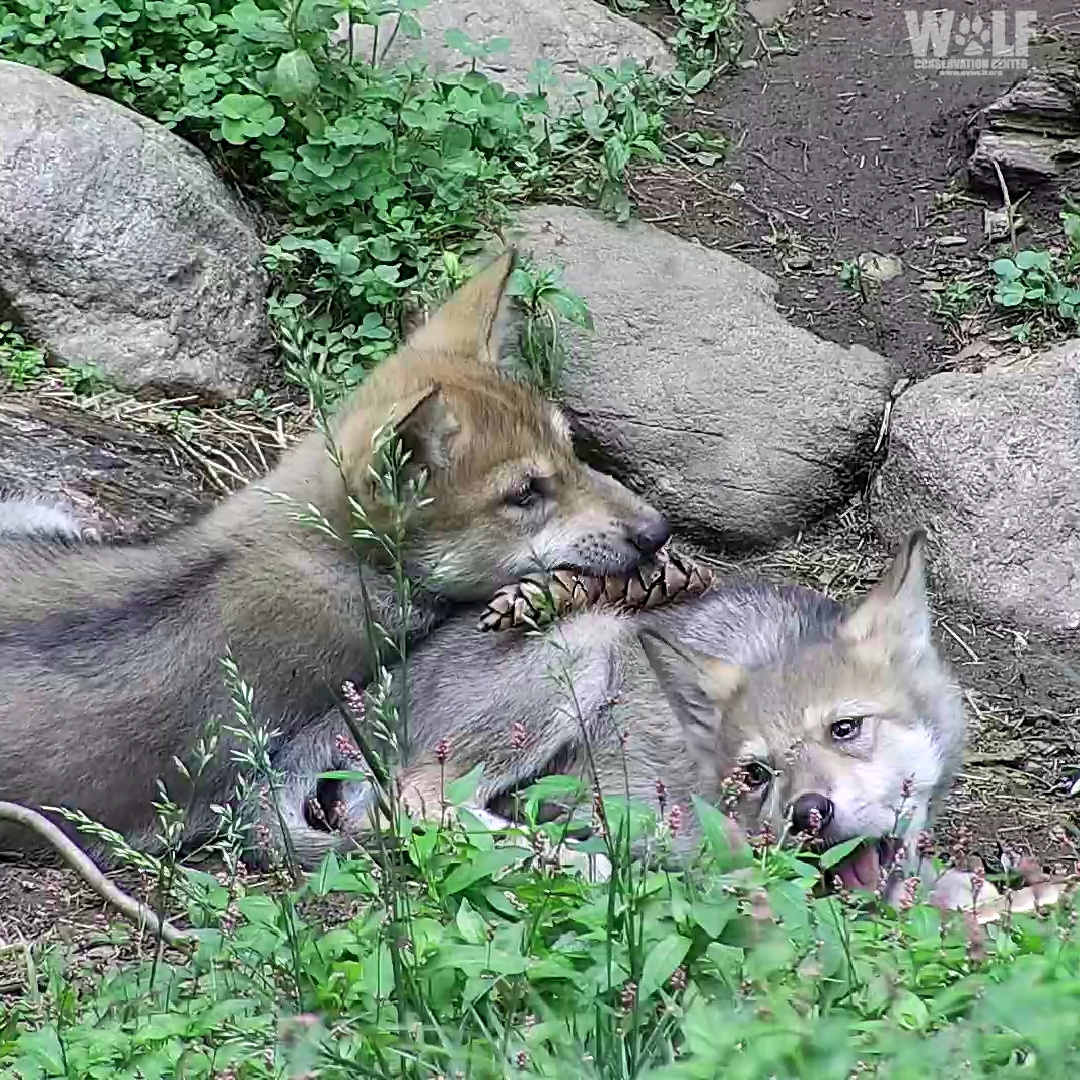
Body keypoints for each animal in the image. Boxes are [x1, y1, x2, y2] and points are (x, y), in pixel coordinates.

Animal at [281, 531, 991, 909]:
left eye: (846, 729)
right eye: (755, 775)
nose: (809, 814)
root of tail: (383, 682)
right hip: (585, 649)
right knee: (412, 805)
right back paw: (595, 861)